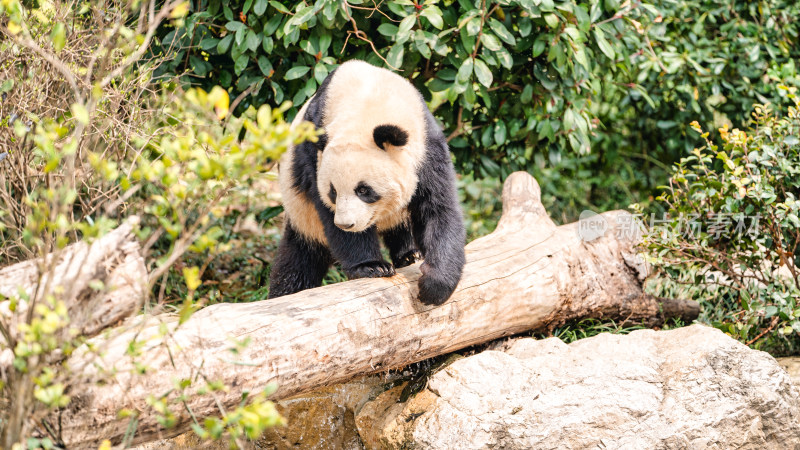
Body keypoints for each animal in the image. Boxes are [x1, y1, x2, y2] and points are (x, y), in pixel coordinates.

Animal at [272, 59, 466, 306]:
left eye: (364, 190)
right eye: (333, 192)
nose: (346, 224)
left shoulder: (427, 146)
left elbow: (437, 207)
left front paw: (435, 285)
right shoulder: (314, 156)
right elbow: (328, 214)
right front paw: (372, 267)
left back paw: (410, 255)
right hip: (301, 212)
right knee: (298, 262)